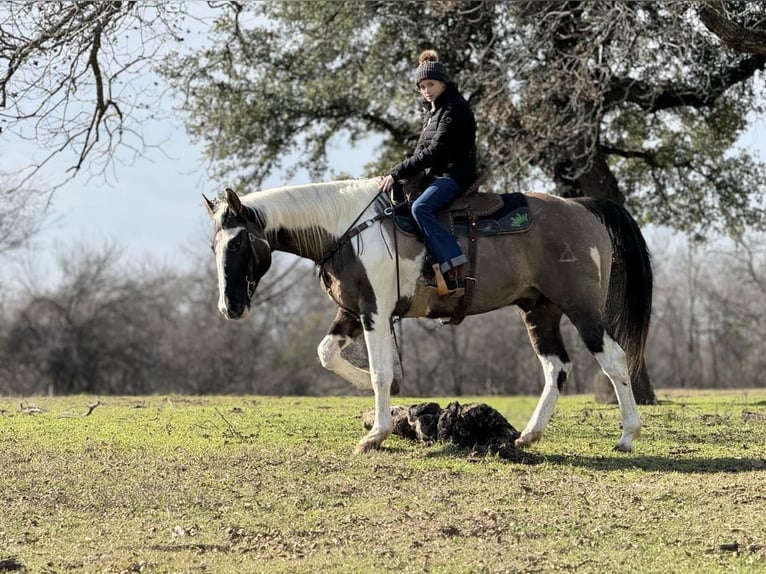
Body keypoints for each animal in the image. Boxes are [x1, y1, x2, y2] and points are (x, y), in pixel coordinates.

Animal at [206, 178, 656, 456]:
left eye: (239, 241)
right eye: (215, 245)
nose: (230, 307)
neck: (346, 229)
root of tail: (581, 208)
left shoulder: (374, 309)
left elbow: (380, 372)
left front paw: (376, 434)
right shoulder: (351, 310)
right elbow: (327, 354)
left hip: (582, 308)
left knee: (614, 360)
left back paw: (626, 437)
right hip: (539, 310)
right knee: (556, 367)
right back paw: (529, 435)